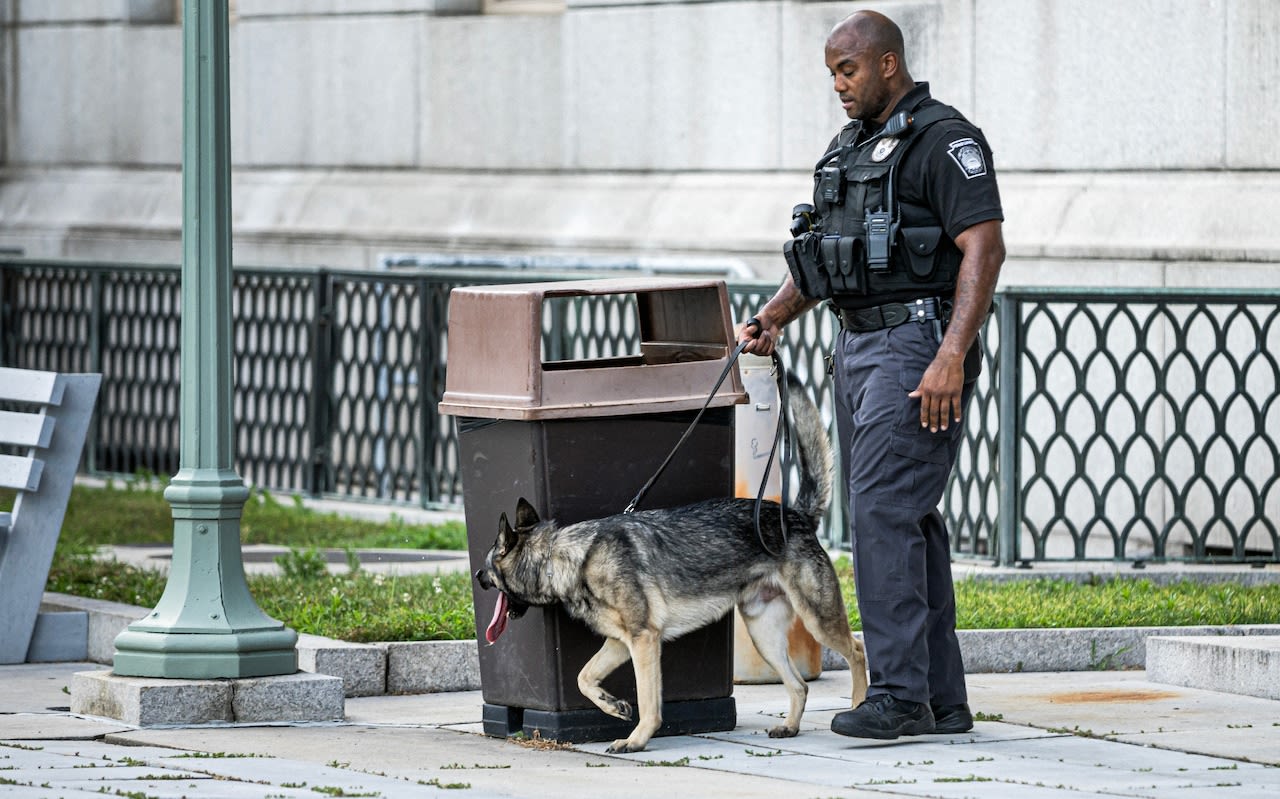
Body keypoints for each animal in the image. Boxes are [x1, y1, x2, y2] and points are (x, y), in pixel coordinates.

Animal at [478, 376, 870, 752]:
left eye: (489, 564)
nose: (478, 576)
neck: (572, 558)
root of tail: (796, 516)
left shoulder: (644, 641)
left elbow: (649, 703)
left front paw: (636, 740)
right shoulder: (621, 642)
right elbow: (584, 678)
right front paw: (613, 705)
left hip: (818, 620)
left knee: (857, 651)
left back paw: (858, 706)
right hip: (765, 636)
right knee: (800, 685)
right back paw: (790, 727)